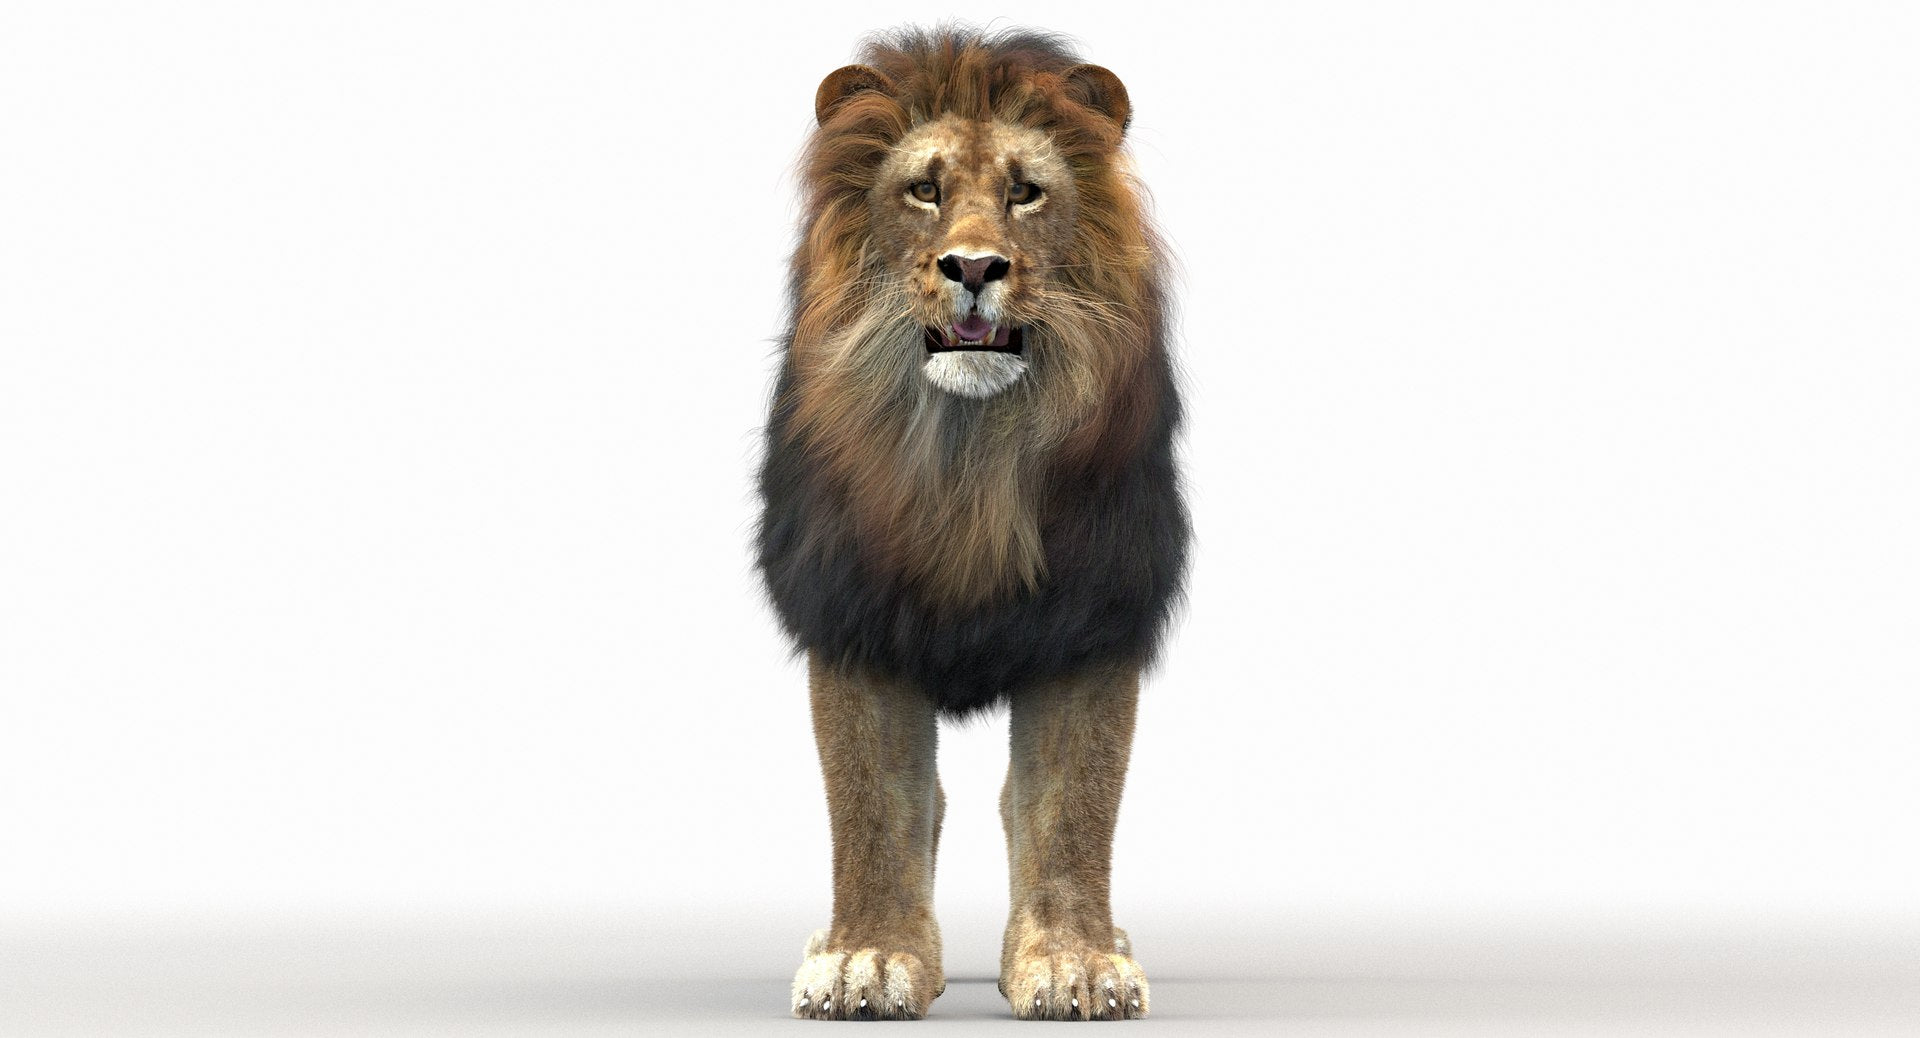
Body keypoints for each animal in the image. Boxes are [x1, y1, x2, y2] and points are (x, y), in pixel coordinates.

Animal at [756, 25, 1189, 1021]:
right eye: (927, 189)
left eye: (1026, 191)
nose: (977, 268)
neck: (967, 460)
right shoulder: (855, 615)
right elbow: (872, 808)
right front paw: (866, 958)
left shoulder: (1091, 619)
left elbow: (1072, 807)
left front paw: (1075, 963)